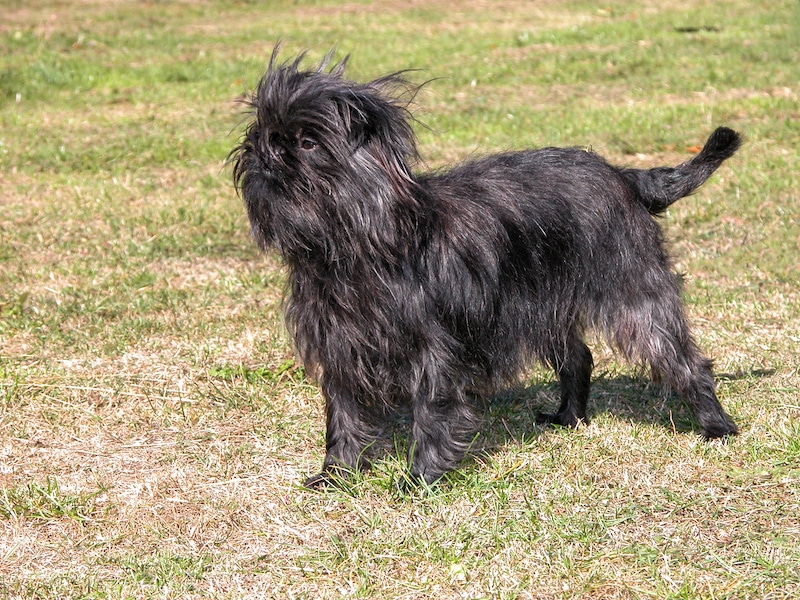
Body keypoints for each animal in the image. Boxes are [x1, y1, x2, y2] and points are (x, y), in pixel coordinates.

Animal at [228, 50, 740, 488]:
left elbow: (431, 409)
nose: (264, 151)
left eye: (306, 141)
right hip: (545, 307)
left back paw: (716, 425)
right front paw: (337, 473)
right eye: (260, 134)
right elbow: (343, 415)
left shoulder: (433, 350)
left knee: (683, 358)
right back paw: (568, 417)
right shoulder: (339, 345)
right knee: (579, 358)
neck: (359, 245)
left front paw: (421, 478)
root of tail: (624, 176)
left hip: (634, 296)